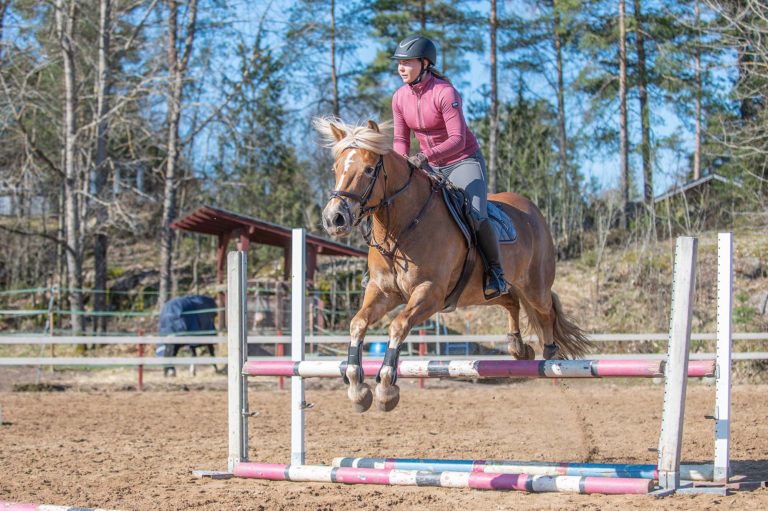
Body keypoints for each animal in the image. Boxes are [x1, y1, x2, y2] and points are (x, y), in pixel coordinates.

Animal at [316, 118, 592, 414]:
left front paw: (386, 388)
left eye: (368, 170)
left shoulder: (430, 293)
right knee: (511, 301)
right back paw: (517, 347)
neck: (401, 228)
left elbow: (398, 326)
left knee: (546, 310)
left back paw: (550, 352)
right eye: (336, 168)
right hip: (485, 292)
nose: (334, 218)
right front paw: (357, 387)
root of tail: (533, 211)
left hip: (534, 285)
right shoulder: (383, 292)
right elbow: (358, 323)